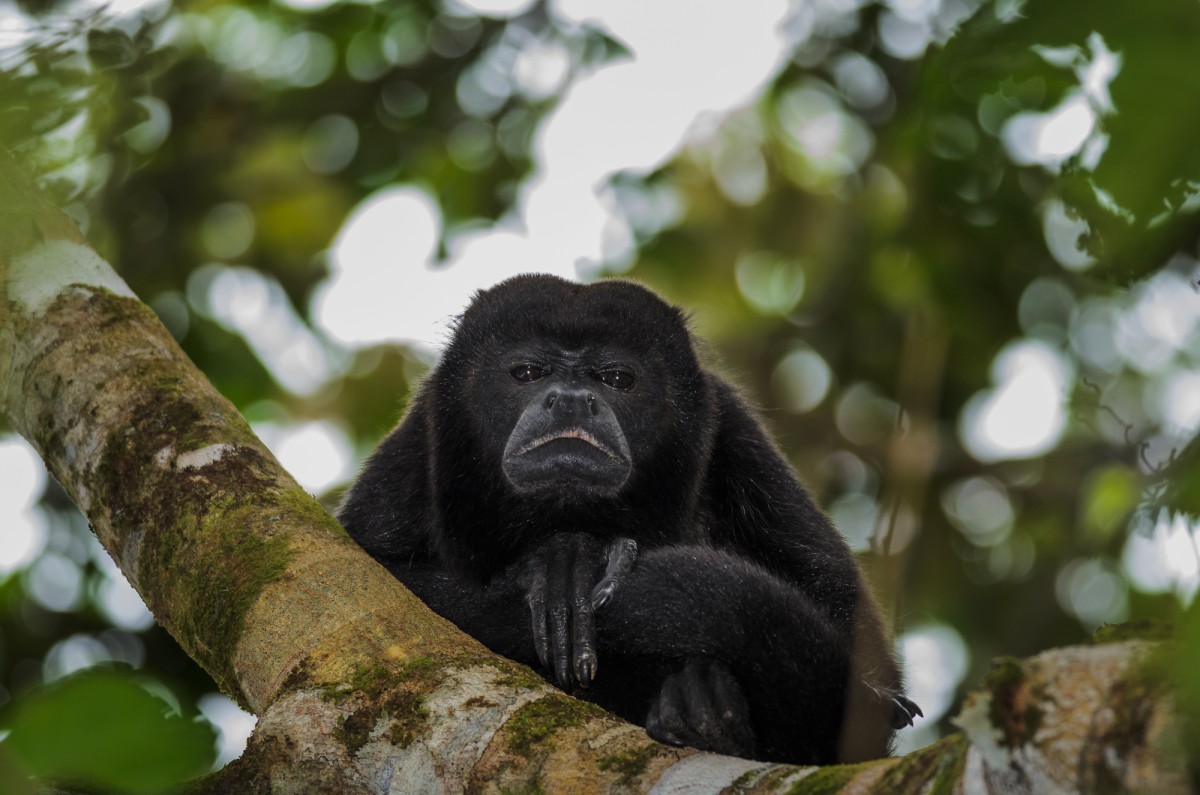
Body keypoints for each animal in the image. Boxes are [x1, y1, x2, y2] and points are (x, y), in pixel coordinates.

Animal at [338, 273, 916, 768]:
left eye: (616, 378)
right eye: (527, 373)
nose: (573, 399)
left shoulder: (734, 431)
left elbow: (857, 645)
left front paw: (578, 559)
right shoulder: (415, 450)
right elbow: (381, 577)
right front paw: (556, 563)